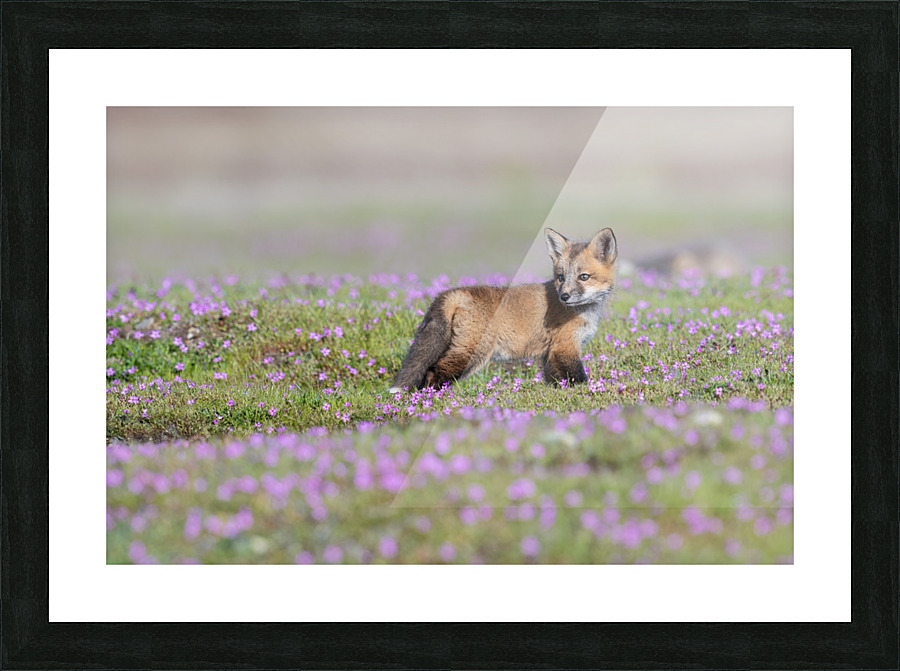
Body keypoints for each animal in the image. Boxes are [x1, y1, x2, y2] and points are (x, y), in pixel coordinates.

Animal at [388, 227, 617, 393]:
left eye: (584, 277)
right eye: (561, 277)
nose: (564, 297)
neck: (584, 312)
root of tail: (453, 292)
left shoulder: (550, 351)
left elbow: (554, 380)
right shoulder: (565, 346)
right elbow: (578, 377)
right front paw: (586, 392)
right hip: (472, 353)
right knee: (433, 372)